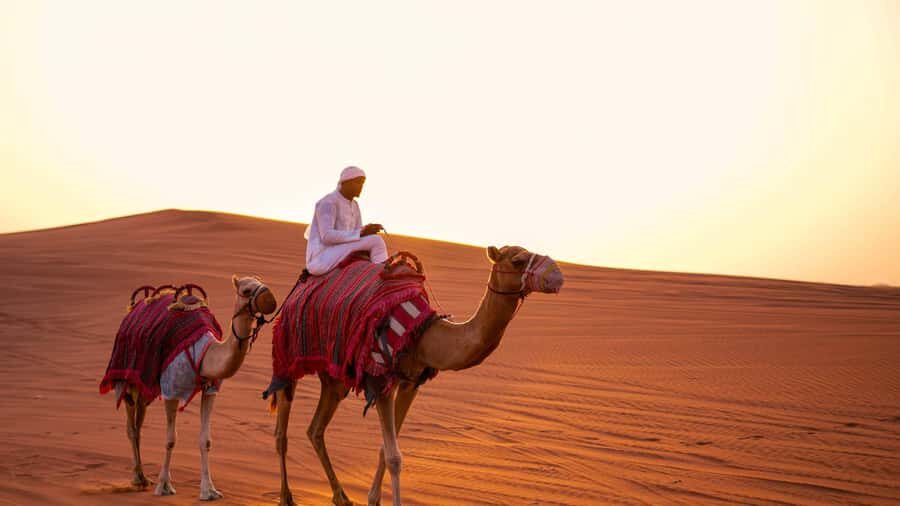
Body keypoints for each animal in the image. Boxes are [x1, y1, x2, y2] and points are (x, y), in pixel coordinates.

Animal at [101, 275, 276, 500]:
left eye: (260, 281)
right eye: (246, 290)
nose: (270, 298)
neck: (205, 354)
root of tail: (134, 307)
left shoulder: (210, 390)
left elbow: (205, 440)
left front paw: (209, 490)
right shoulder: (171, 389)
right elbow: (170, 439)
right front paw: (164, 486)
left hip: (145, 387)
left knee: (139, 424)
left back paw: (142, 477)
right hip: (127, 379)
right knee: (131, 427)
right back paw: (139, 479)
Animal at [271, 245, 564, 506]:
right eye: (517, 260)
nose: (557, 275)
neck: (423, 334)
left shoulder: (411, 382)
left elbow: (385, 449)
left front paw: (373, 499)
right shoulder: (381, 381)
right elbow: (394, 457)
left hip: (335, 378)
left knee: (315, 429)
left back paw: (341, 497)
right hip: (289, 356)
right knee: (282, 431)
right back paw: (286, 497)